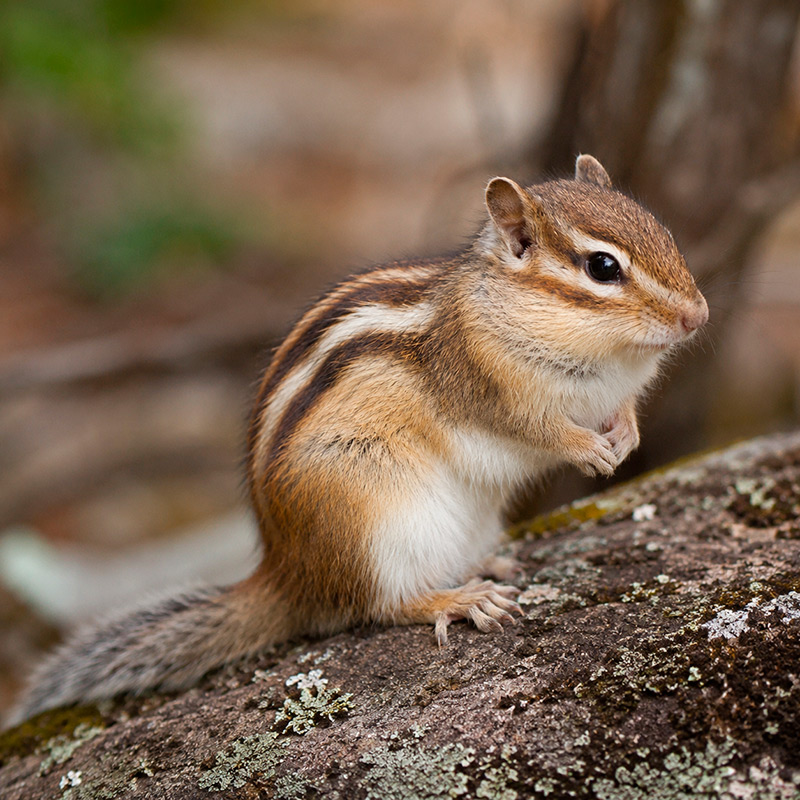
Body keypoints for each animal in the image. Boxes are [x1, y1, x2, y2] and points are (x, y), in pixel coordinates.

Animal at [9, 155, 708, 724]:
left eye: (664, 232)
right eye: (602, 267)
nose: (697, 316)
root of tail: (289, 576)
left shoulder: (614, 390)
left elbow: (623, 410)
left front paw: (626, 438)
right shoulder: (486, 383)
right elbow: (536, 428)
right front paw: (590, 451)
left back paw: (486, 565)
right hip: (377, 515)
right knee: (377, 605)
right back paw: (459, 599)